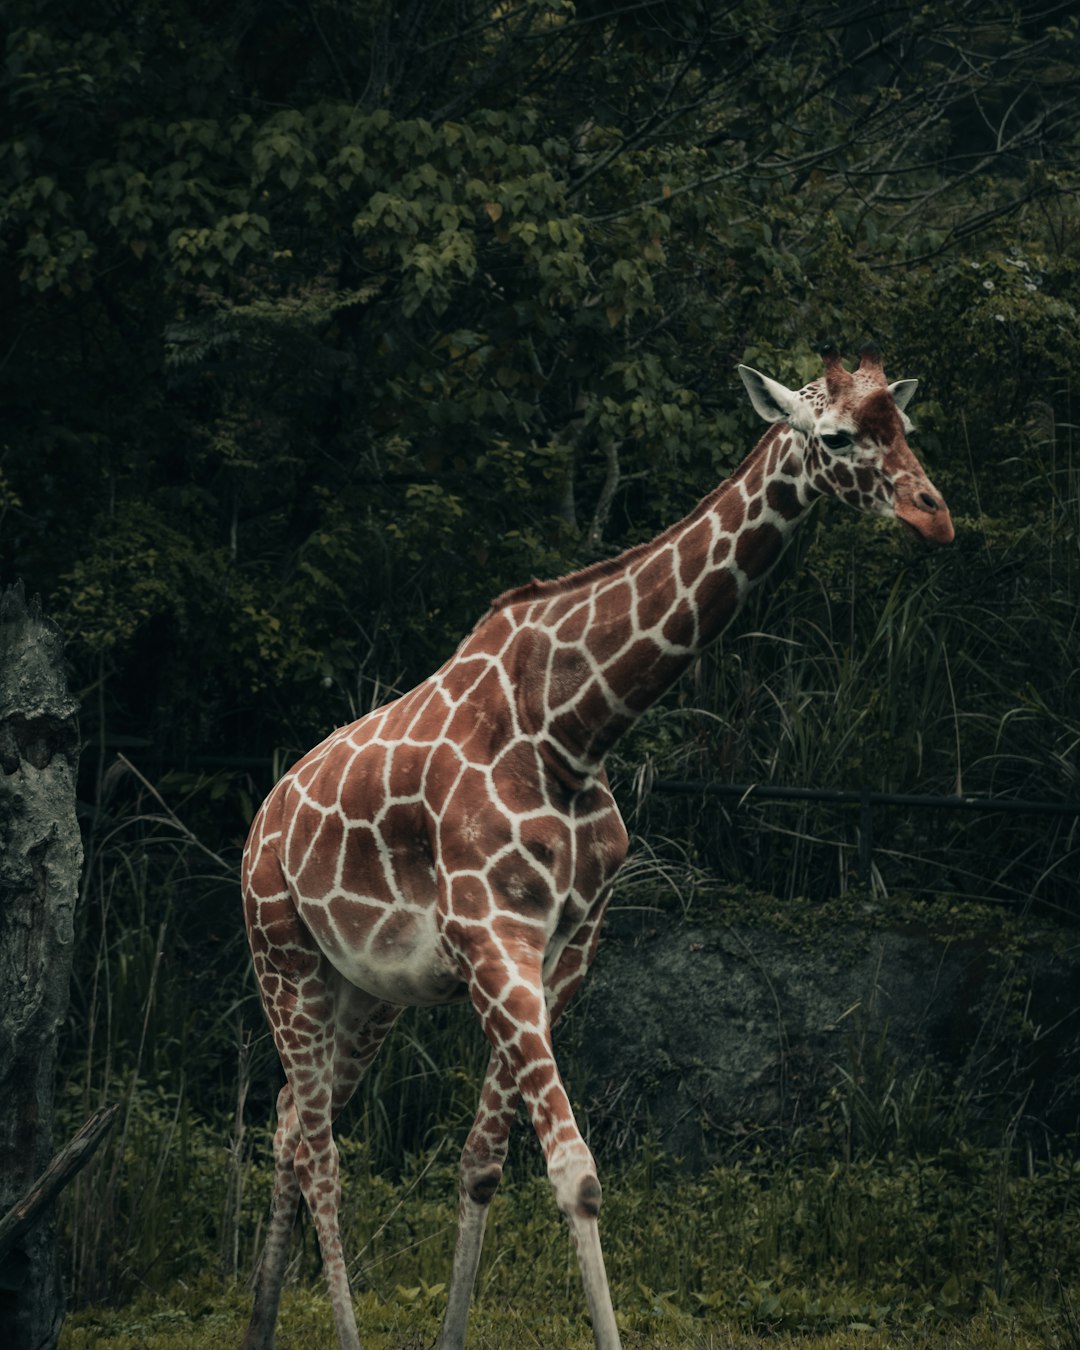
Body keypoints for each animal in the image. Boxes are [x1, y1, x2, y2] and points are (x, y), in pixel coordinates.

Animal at [238, 342, 955, 1344]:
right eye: (838, 436)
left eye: (907, 427)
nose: (936, 515)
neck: (571, 729)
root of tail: (262, 821)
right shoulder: (490, 935)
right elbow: (575, 1175)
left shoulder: (565, 948)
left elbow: (482, 1161)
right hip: (283, 955)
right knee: (319, 1149)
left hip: (366, 991)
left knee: (286, 1123)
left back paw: (261, 1324)